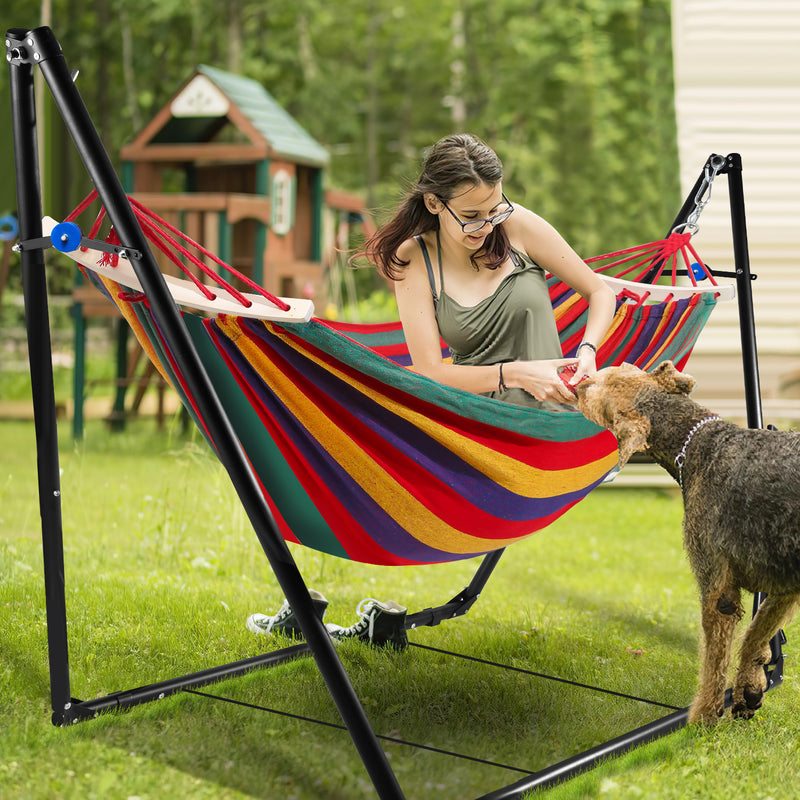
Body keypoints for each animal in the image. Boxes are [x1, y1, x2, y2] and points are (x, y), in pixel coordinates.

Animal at [576, 360, 800, 724]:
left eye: (596, 388)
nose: (577, 383)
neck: (698, 441)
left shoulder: (718, 587)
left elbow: (714, 664)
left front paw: (702, 719)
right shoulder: (785, 581)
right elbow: (756, 635)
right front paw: (749, 690)